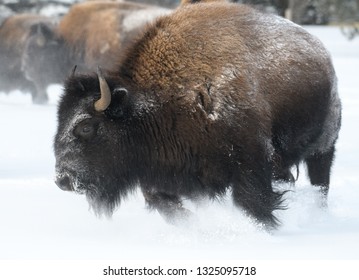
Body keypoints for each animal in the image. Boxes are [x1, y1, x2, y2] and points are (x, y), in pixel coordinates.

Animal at [54, 2, 344, 229]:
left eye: (86, 126)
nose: (62, 180)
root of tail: (322, 53)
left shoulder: (251, 162)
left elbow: (254, 204)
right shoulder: (165, 173)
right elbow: (166, 204)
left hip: (323, 148)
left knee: (321, 184)